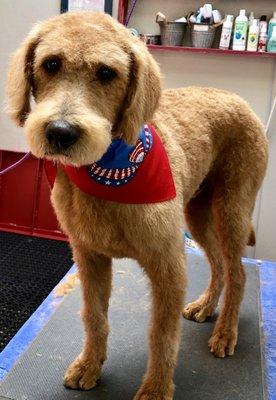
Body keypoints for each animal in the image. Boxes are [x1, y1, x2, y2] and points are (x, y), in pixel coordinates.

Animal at [6, 10, 268, 398]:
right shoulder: (89, 258)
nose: (60, 132)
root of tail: (238, 98)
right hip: (197, 212)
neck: (107, 169)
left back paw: (225, 332)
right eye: (50, 64)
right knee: (219, 265)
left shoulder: (168, 266)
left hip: (233, 210)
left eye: (106, 73)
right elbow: (95, 318)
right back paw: (206, 306)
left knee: (238, 272)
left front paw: (156, 388)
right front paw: (90, 365)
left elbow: (163, 335)